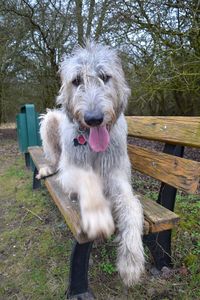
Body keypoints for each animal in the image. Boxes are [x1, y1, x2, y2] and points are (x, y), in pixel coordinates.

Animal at [36, 41, 145, 286]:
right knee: (54, 158)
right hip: (51, 121)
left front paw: (131, 261)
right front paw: (97, 216)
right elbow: (86, 177)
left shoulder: (117, 173)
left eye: (105, 77)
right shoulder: (69, 168)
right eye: (76, 80)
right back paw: (47, 168)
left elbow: (131, 205)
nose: (93, 119)